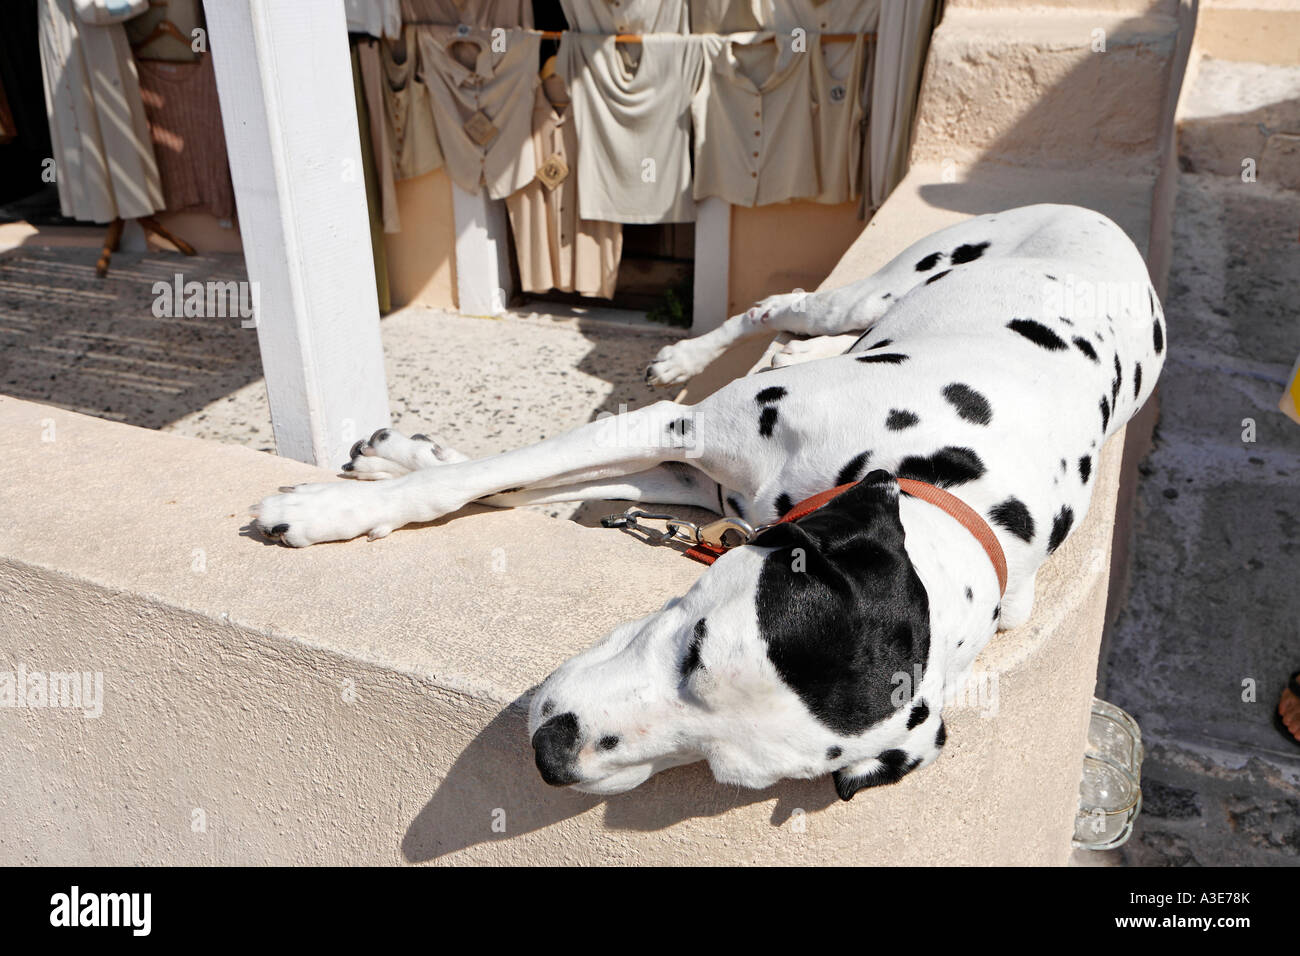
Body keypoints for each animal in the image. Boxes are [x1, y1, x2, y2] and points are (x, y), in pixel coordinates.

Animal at [253, 204, 1170, 801]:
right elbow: (478, 477)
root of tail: (1105, 220)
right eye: (694, 645)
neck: (949, 488)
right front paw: (336, 504)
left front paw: (390, 468)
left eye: (724, 770)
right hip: (876, 288)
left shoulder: (690, 478)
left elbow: (507, 482)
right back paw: (693, 350)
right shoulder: (679, 426)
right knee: (778, 303)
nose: (554, 754)